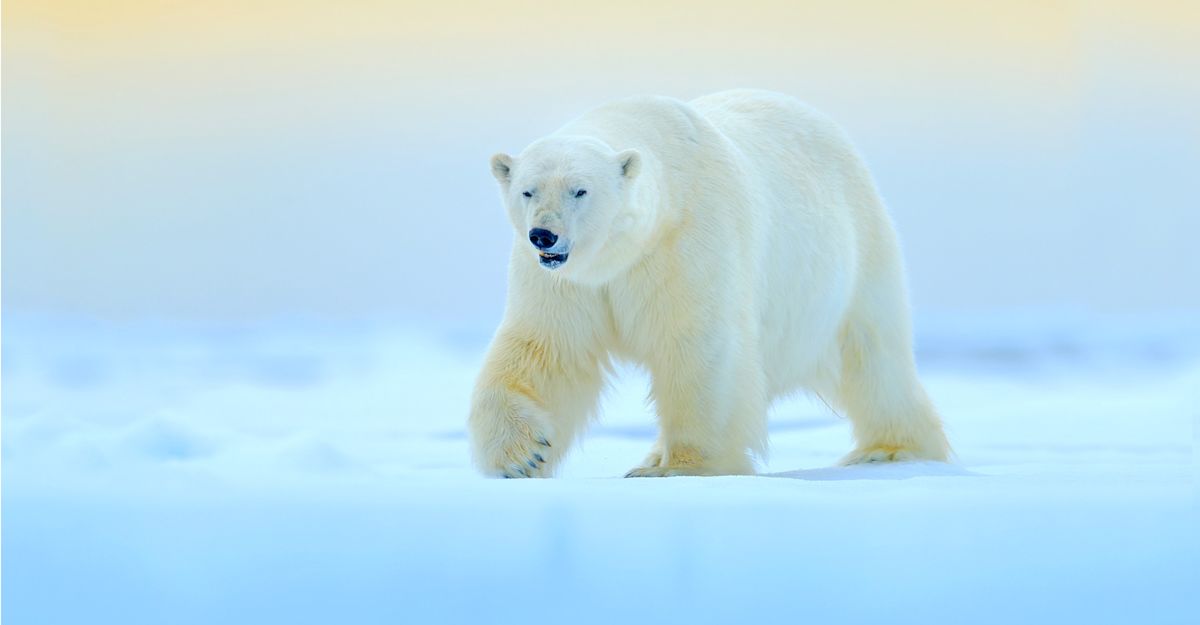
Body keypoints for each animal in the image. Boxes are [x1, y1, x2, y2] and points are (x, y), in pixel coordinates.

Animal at [468, 89, 951, 477]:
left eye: (580, 190)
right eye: (528, 190)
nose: (544, 235)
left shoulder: (688, 241)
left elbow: (698, 343)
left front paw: (686, 467)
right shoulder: (567, 281)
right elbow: (547, 348)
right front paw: (522, 455)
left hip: (854, 256)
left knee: (873, 357)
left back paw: (892, 449)